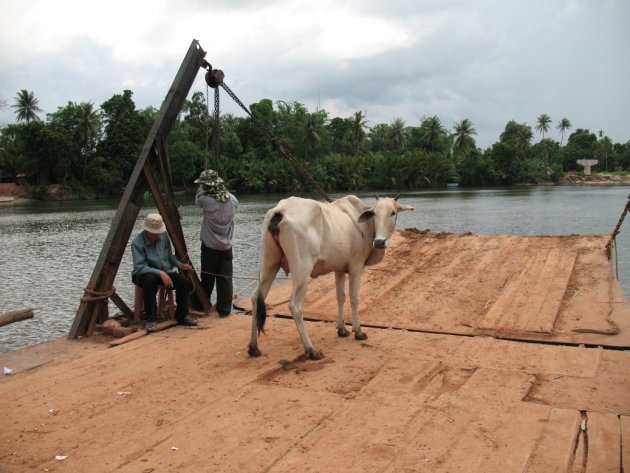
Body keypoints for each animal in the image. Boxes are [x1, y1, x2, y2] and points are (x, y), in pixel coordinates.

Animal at [249, 194, 418, 360]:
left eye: (393, 212)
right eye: (375, 213)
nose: (380, 242)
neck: (365, 226)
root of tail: (280, 210)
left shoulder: (339, 269)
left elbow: (340, 297)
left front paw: (342, 329)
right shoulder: (356, 266)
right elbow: (354, 298)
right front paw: (358, 331)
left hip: (269, 265)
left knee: (256, 298)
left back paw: (253, 348)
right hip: (302, 271)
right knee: (295, 306)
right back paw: (311, 350)